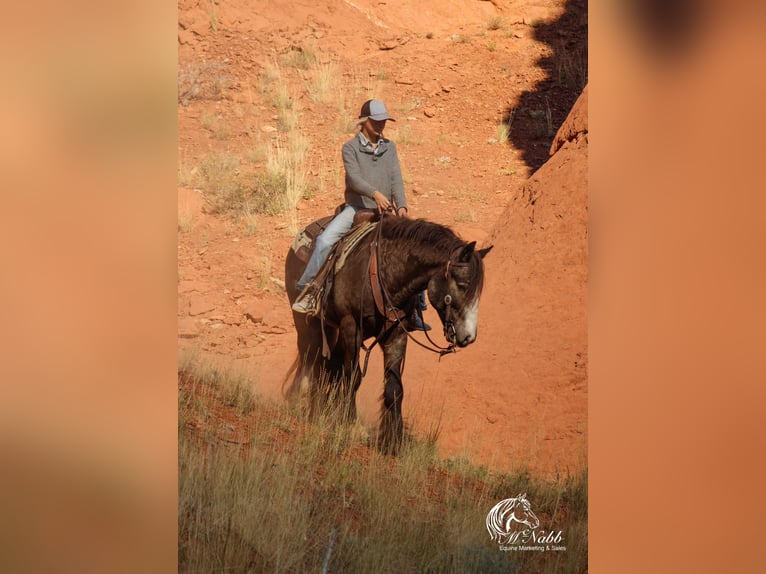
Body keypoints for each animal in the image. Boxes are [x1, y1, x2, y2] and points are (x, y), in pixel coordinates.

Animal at [284, 215, 496, 454]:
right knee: (310, 357)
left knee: (329, 364)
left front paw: (394, 440)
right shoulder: (350, 326)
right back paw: (300, 404)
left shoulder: (397, 333)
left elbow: (394, 388)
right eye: (462, 285)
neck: (385, 274)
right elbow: (353, 377)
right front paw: (350, 426)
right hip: (306, 323)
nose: (468, 337)